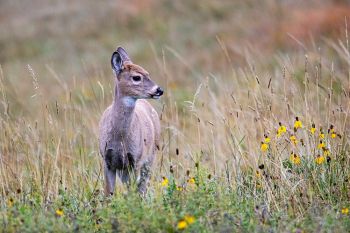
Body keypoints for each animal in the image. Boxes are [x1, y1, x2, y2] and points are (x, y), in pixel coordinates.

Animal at [98, 46, 164, 195]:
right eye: (136, 77)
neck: (119, 139)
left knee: (142, 186)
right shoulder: (107, 160)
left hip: (150, 156)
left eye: (148, 74)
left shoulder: (135, 160)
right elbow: (109, 193)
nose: (159, 90)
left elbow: (133, 192)